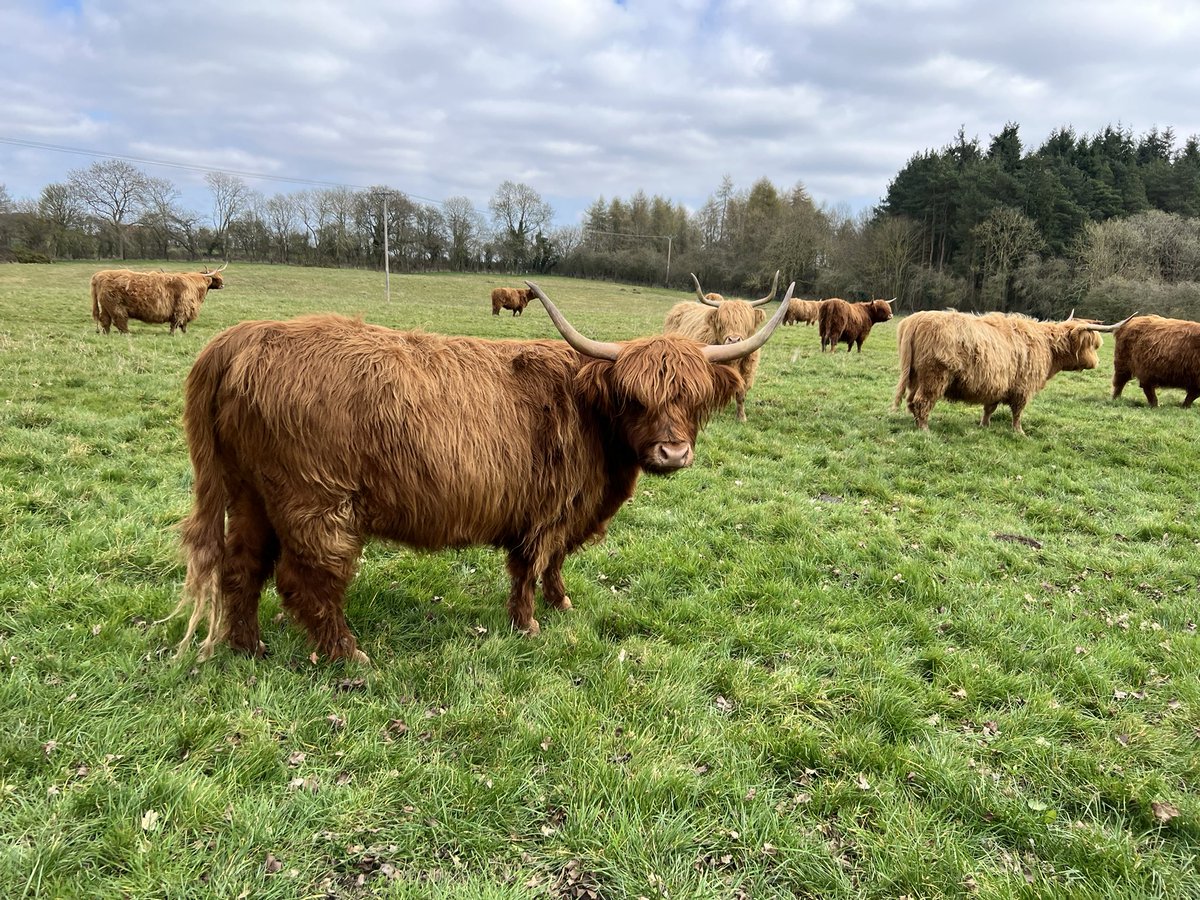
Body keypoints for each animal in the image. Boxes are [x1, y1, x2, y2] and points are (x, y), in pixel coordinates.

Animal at [91, 264, 227, 335]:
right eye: (216, 278)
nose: (223, 285)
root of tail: (98, 276)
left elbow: (183, 324)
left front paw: (183, 333)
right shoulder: (182, 308)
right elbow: (177, 323)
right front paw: (173, 334)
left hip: (106, 306)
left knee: (105, 320)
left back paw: (107, 333)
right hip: (116, 306)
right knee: (120, 320)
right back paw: (127, 333)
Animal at [662, 271, 781, 422]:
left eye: (746, 322)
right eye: (722, 322)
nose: (734, 339)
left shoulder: (747, 373)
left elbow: (741, 395)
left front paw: (741, 417)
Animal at [892, 310, 1134, 433]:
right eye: (1093, 344)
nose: (1097, 362)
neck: (1048, 346)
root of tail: (916, 320)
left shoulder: (997, 384)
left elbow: (989, 408)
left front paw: (984, 425)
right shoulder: (1022, 387)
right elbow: (1018, 412)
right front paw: (1020, 432)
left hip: (915, 376)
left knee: (911, 401)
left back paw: (917, 423)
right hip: (935, 376)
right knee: (922, 401)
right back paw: (924, 429)